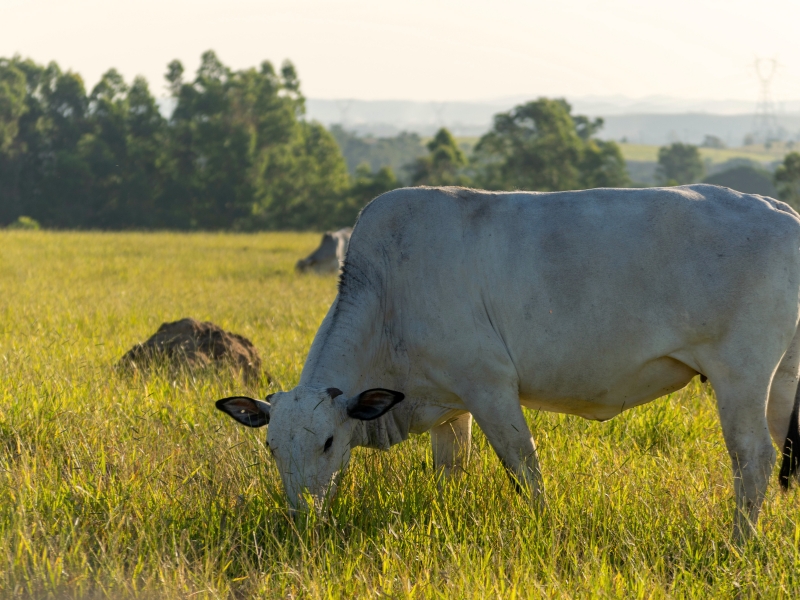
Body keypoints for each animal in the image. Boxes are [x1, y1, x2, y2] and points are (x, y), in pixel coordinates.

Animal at [217, 184, 800, 540]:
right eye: (271, 448)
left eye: (328, 442)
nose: (302, 518)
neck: (388, 298)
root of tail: (781, 209)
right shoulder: (449, 408)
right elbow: (450, 473)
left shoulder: (489, 387)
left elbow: (526, 467)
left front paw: (545, 527)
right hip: (784, 378)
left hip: (740, 374)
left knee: (753, 459)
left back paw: (738, 543)